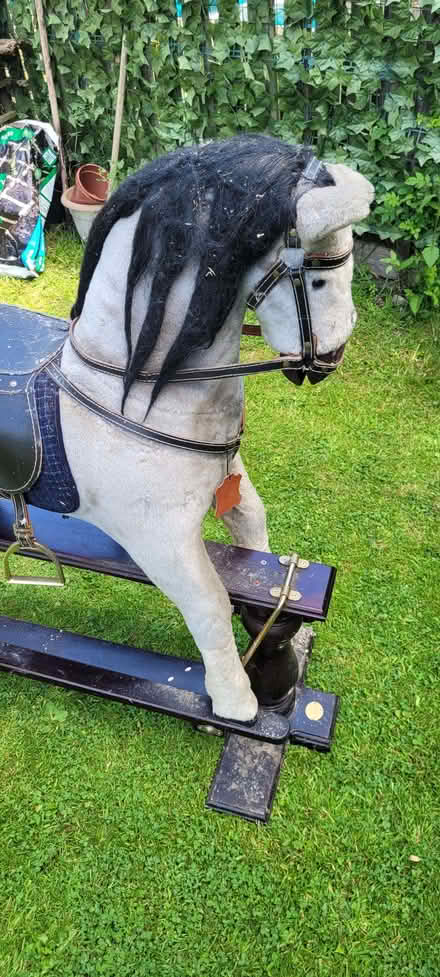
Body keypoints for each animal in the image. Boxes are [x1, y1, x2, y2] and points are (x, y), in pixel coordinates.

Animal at [19, 135, 375, 723]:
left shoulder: (227, 481)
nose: (333, 358)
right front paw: (236, 700)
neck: (135, 393)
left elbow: (254, 528)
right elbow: (209, 602)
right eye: (320, 276)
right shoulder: (157, 540)